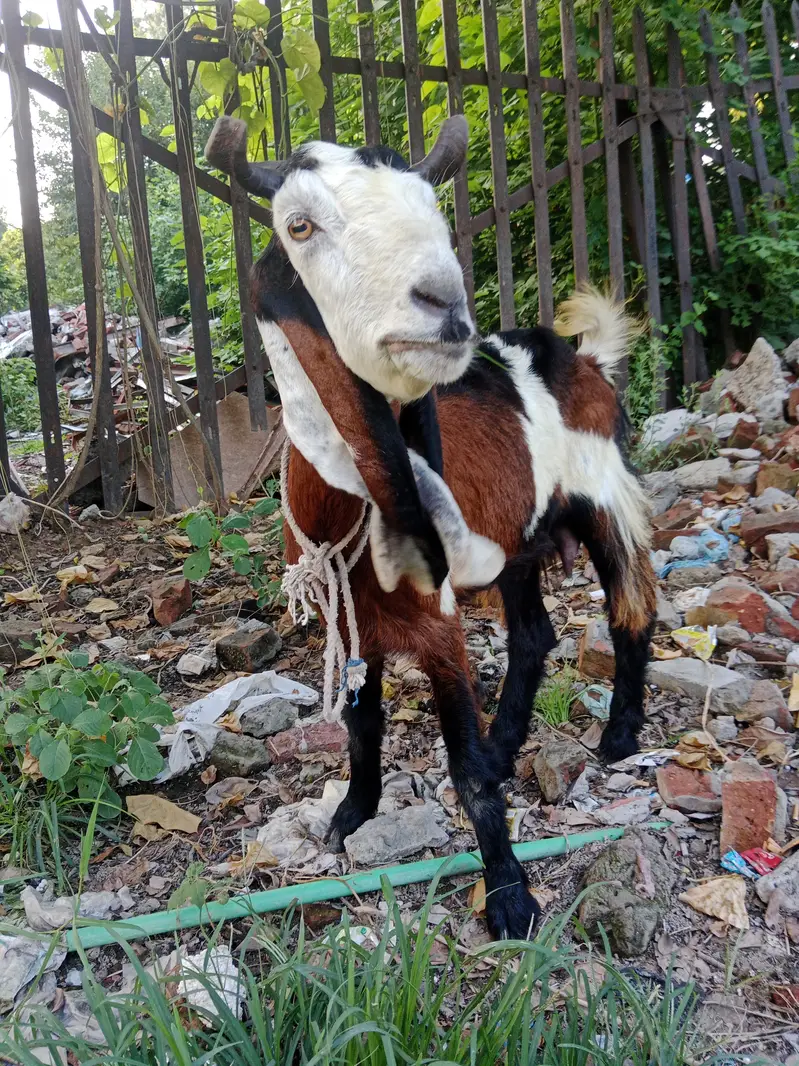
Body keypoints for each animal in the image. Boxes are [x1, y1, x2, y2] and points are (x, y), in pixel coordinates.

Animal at [206, 117, 657, 940]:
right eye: (298, 225)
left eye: (437, 216)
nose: (444, 307)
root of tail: (583, 357)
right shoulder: (354, 622)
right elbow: (362, 725)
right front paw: (351, 816)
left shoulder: (438, 626)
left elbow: (464, 767)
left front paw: (508, 896)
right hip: (518, 537)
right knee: (534, 634)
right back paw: (510, 740)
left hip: (603, 491)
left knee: (630, 607)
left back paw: (617, 735)